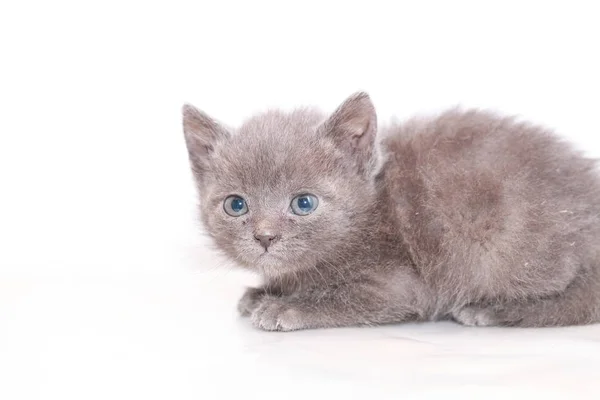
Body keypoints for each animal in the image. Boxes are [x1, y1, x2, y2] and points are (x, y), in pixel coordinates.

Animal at [180, 94, 600, 332]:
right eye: (236, 205)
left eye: (304, 203)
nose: (265, 236)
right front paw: (263, 292)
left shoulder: (403, 285)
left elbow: (348, 299)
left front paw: (286, 306)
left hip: (505, 245)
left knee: (580, 300)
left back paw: (489, 311)